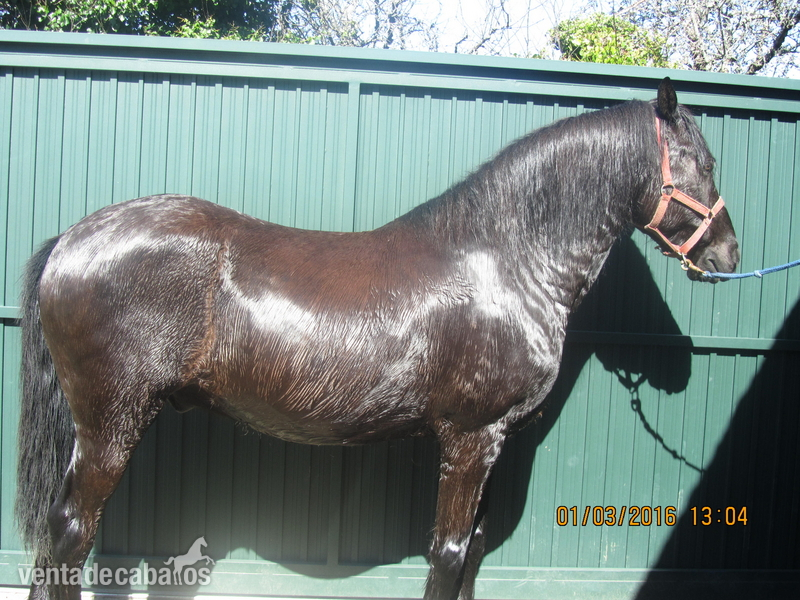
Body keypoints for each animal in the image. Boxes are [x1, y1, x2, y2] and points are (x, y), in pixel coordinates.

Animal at [16, 78, 738, 600]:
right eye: (704, 163)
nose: (728, 255)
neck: (501, 259)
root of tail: (73, 240)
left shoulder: (497, 441)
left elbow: (475, 553)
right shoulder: (471, 438)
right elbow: (448, 554)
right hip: (111, 422)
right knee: (71, 533)